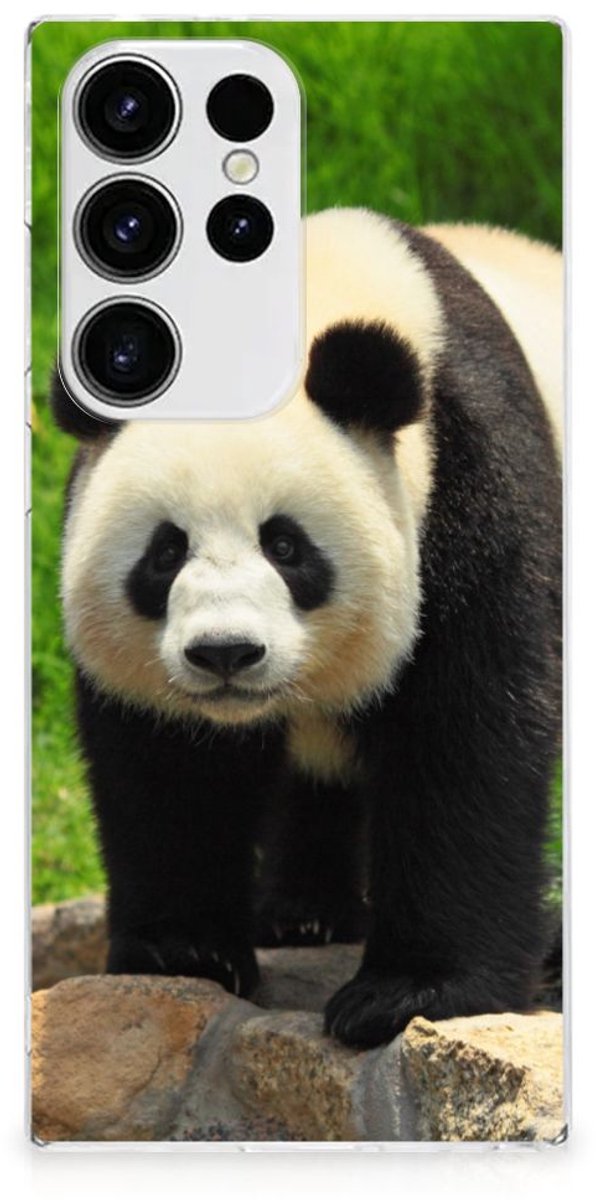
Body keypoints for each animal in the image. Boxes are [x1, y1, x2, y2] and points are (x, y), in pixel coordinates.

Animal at [51, 209, 562, 1049]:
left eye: (286, 546)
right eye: (165, 552)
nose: (225, 653)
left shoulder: (474, 486)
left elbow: (468, 736)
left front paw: (409, 993)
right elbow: (168, 766)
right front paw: (184, 951)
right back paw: (303, 913)